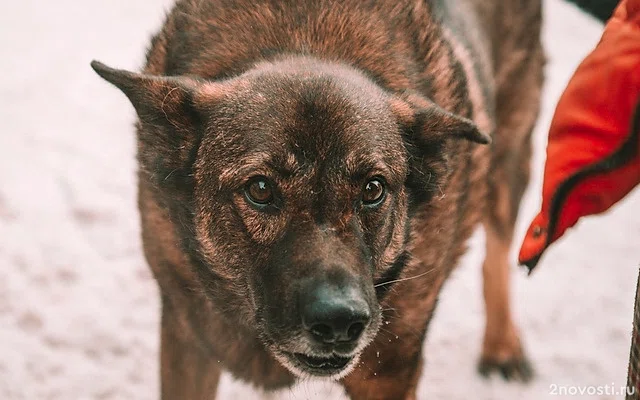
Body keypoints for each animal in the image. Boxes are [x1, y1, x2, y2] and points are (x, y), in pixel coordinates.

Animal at [94, 0, 544, 396]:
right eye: (260, 189)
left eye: (373, 189)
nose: (340, 321)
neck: (305, 40)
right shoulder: (187, 337)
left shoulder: (390, 369)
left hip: (510, 160)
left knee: (498, 251)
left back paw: (502, 347)